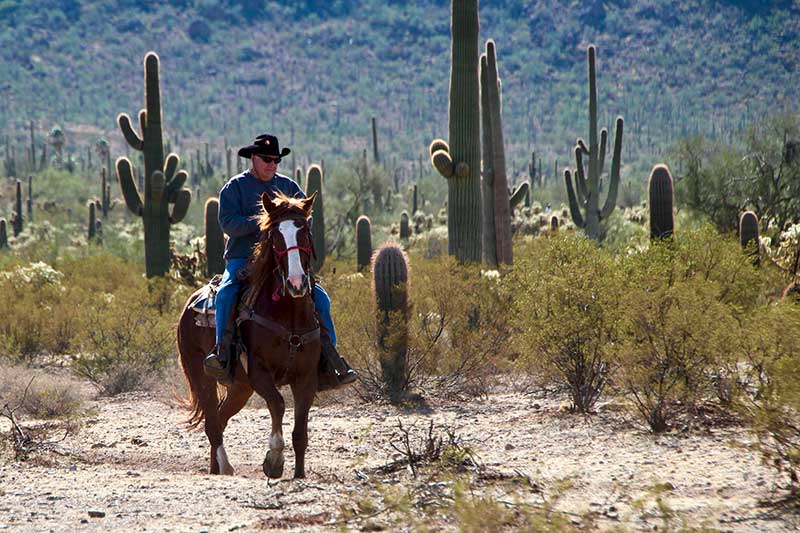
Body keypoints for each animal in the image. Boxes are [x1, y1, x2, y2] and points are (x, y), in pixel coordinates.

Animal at [177, 192, 318, 478]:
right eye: (275, 236)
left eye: (305, 232)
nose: (296, 283)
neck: (289, 314)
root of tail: (189, 304)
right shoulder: (259, 372)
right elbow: (277, 403)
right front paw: (274, 459)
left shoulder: (306, 378)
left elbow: (300, 433)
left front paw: (299, 474)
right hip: (201, 375)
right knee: (212, 423)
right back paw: (225, 466)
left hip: (240, 387)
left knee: (220, 418)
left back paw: (215, 468)